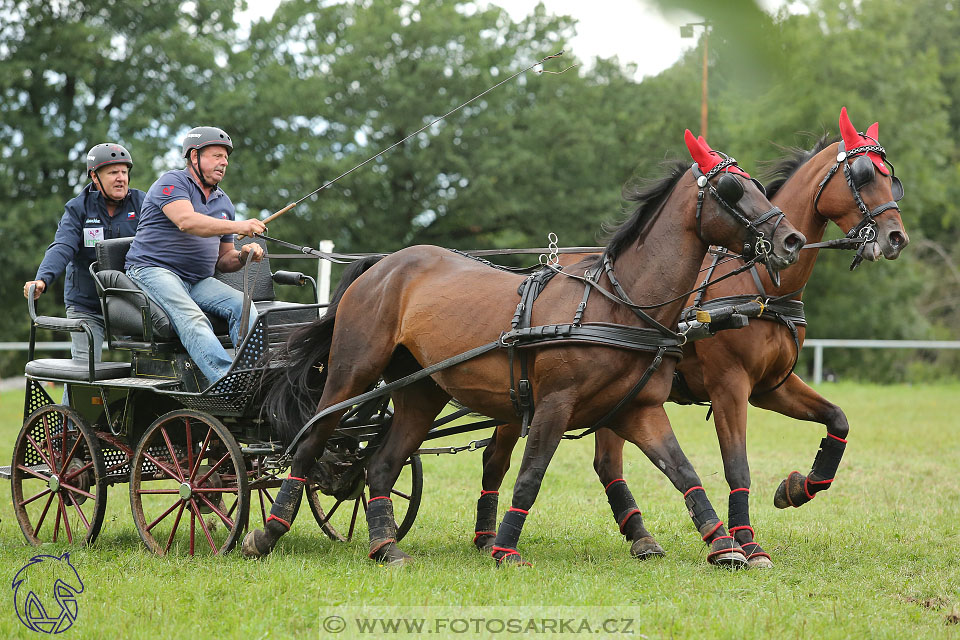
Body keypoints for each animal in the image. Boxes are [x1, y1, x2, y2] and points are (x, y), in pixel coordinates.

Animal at [244, 129, 808, 564]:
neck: (619, 303)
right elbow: (531, 474)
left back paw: (385, 547)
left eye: (757, 184)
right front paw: (505, 548)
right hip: (352, 372)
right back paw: (265, 533)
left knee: (382, 463)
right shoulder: (555, 404)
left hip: (421, 389)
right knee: (313, 440)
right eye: (732, 188)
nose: (792, 241)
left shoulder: (640, 409)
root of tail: (384, 264)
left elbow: (683, 470)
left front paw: (726, 546)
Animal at [472, 107, 908, 568]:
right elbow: (737, 465)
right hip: (524, 396)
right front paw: (748, 543)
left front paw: (797, 488)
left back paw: (639, 537)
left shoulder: (771, 386)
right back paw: (489, 536)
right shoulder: (729, 385)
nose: (896, 237)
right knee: (497, 457)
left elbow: (837, 418)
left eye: (891, 177)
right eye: (863, 175)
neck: (760, 286)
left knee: (605, 463)